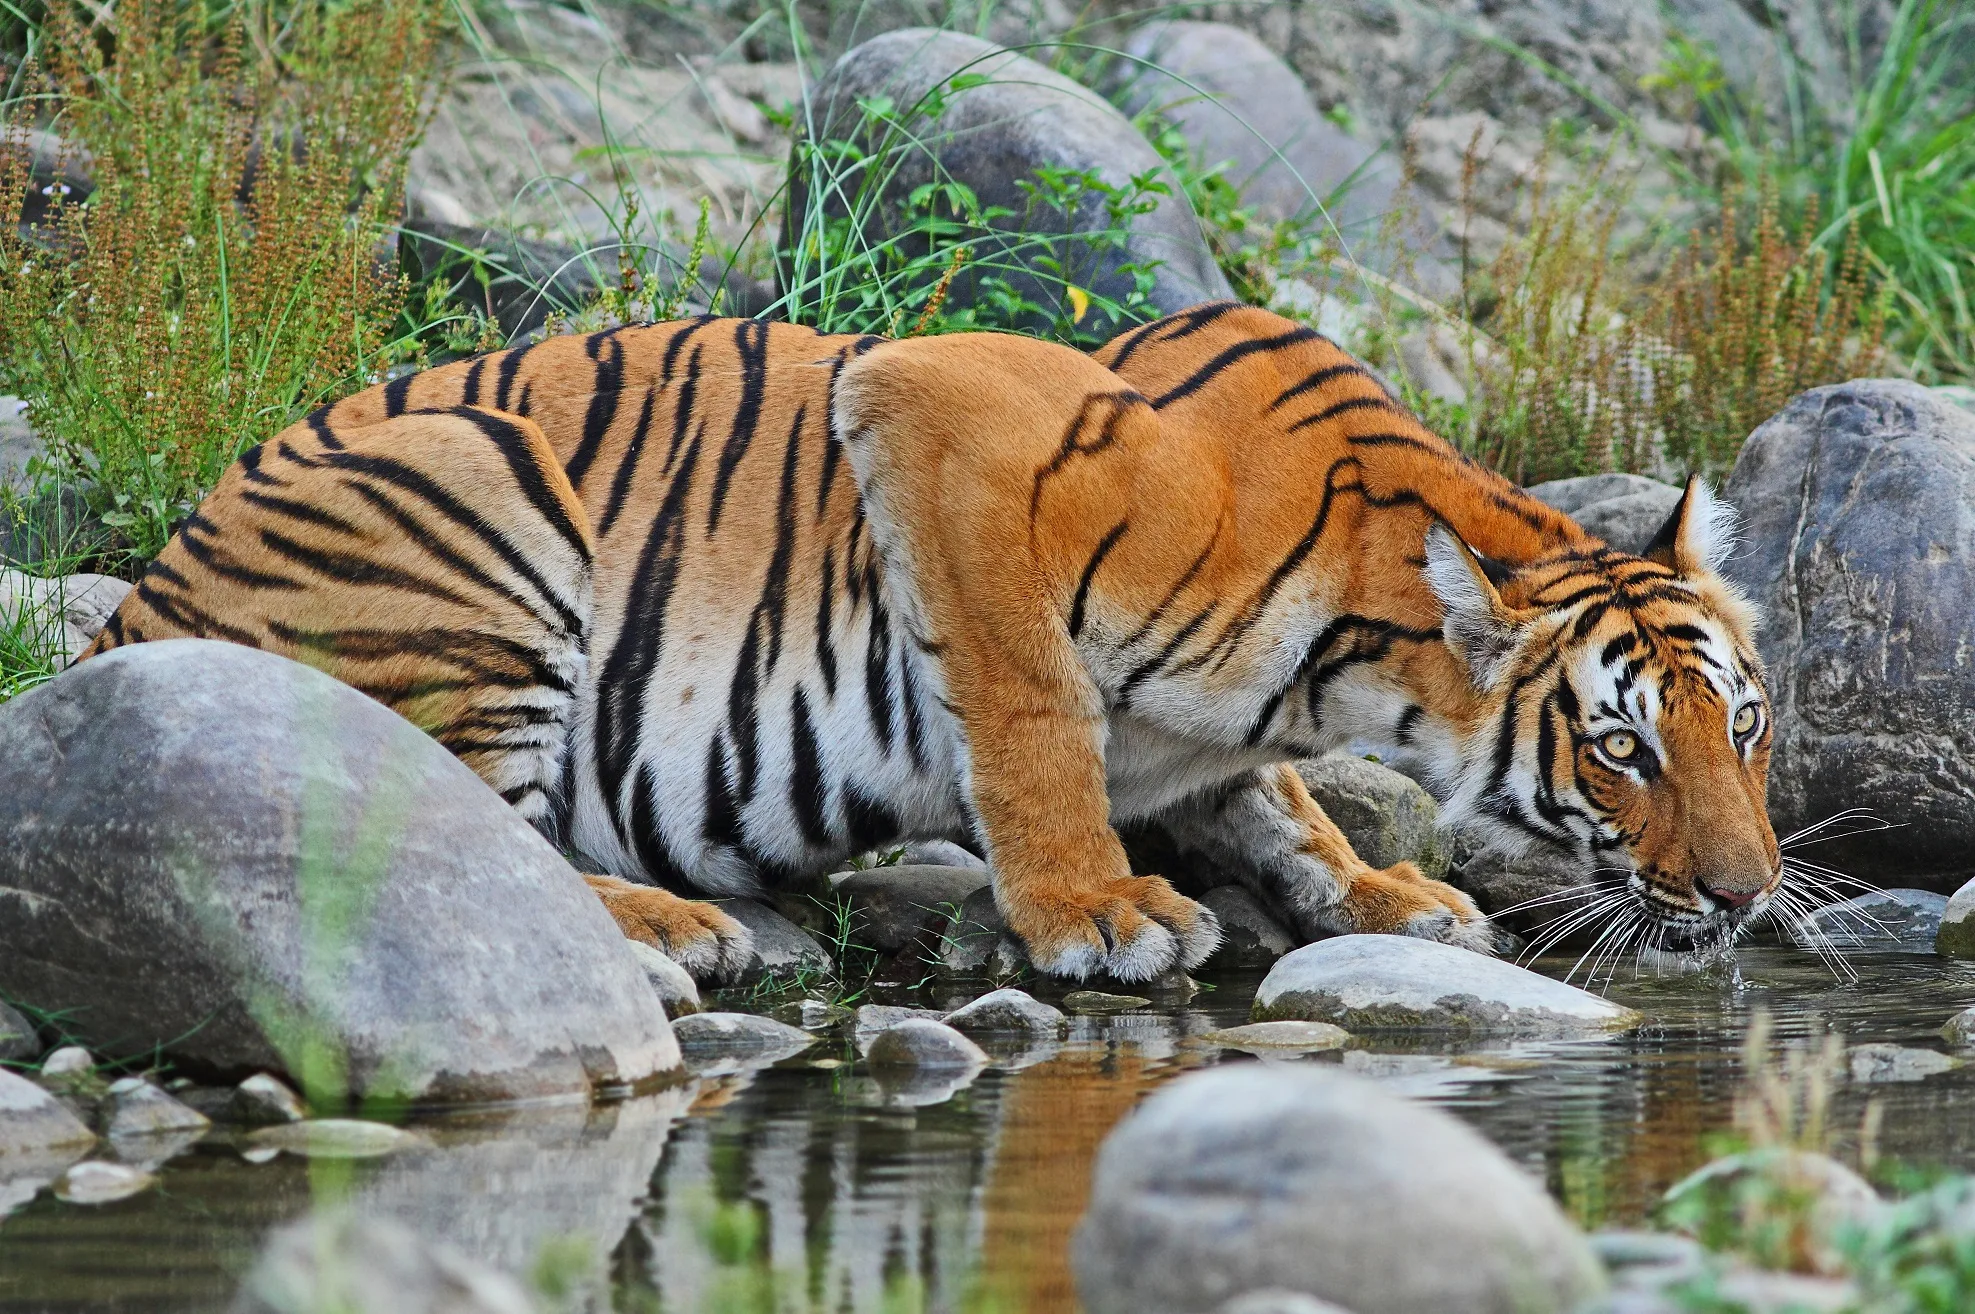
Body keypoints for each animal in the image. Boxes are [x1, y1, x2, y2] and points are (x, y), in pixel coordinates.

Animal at [83, 301, 1782, 982]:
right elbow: (1031, 711)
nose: (1746, 894)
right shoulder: (938, 412)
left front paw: (1377, 888)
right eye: (1619, 747)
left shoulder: (1234, 740)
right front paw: (1096, 909)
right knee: (471, 837)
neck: (1349, 666)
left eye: (1742, 727)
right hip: (471, 475)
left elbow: (1277, 801)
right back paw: (668, 926)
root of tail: (145, 603)